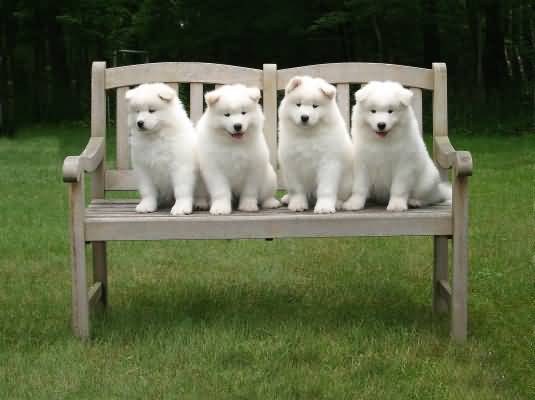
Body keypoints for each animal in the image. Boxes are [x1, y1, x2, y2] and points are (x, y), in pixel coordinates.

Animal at [126, 82, 208, 216]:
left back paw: (200, 203)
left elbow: (181, 190)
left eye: (151, 110)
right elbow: (147, 190)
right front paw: (146, 205)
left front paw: (180, 208)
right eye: (137, 111)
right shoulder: (143, 168)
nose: (140, 123)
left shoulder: (180, 166)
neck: (155, 137)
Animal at [197, 84, 280, 216]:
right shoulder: (215, 169)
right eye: (226, 114)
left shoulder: (253, 168)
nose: (237, 126)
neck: (234, 144)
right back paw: (201, 204)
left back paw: (271, 202)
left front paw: (248, 206)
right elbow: (220, 191)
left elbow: (249, 191)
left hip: (269, 177)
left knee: (266, 195)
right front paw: (220, 208)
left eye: (243, 113)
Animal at [278, 75, 354, 212]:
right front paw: (297, 204)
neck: (307, 135)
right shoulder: (291, 163)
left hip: (347, 182)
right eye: (298, 104)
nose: (304, 117)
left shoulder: (328, 162)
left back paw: (338, 203)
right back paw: (287, 198)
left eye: (315, 106)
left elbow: (325, 189)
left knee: (342, 195)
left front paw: (324, 207)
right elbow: (296, 189)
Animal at [344, 81, 452, 212]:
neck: (381, 142)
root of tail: (439, 189)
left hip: (427, 182)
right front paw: (354, 203)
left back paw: (415, 202)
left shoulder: (404, 165)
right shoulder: (362, 164)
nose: (381, 125)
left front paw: (396, 205)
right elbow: (359, 187)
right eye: (373, 111)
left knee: (431, 198)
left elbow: (399, 188)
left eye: (390, 111)